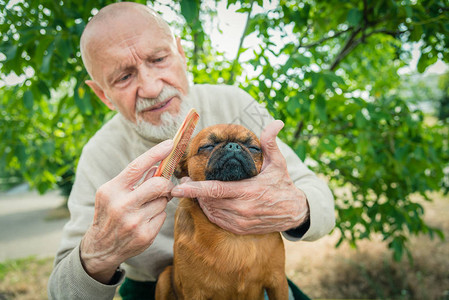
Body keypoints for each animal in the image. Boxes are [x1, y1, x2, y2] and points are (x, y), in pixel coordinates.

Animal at [155, 123, 288, 298]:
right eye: (207, 146)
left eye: (254, 148)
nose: (233, 146)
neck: (233, 236)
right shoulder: (194, 292)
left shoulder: (278, 283)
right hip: (163, 279)